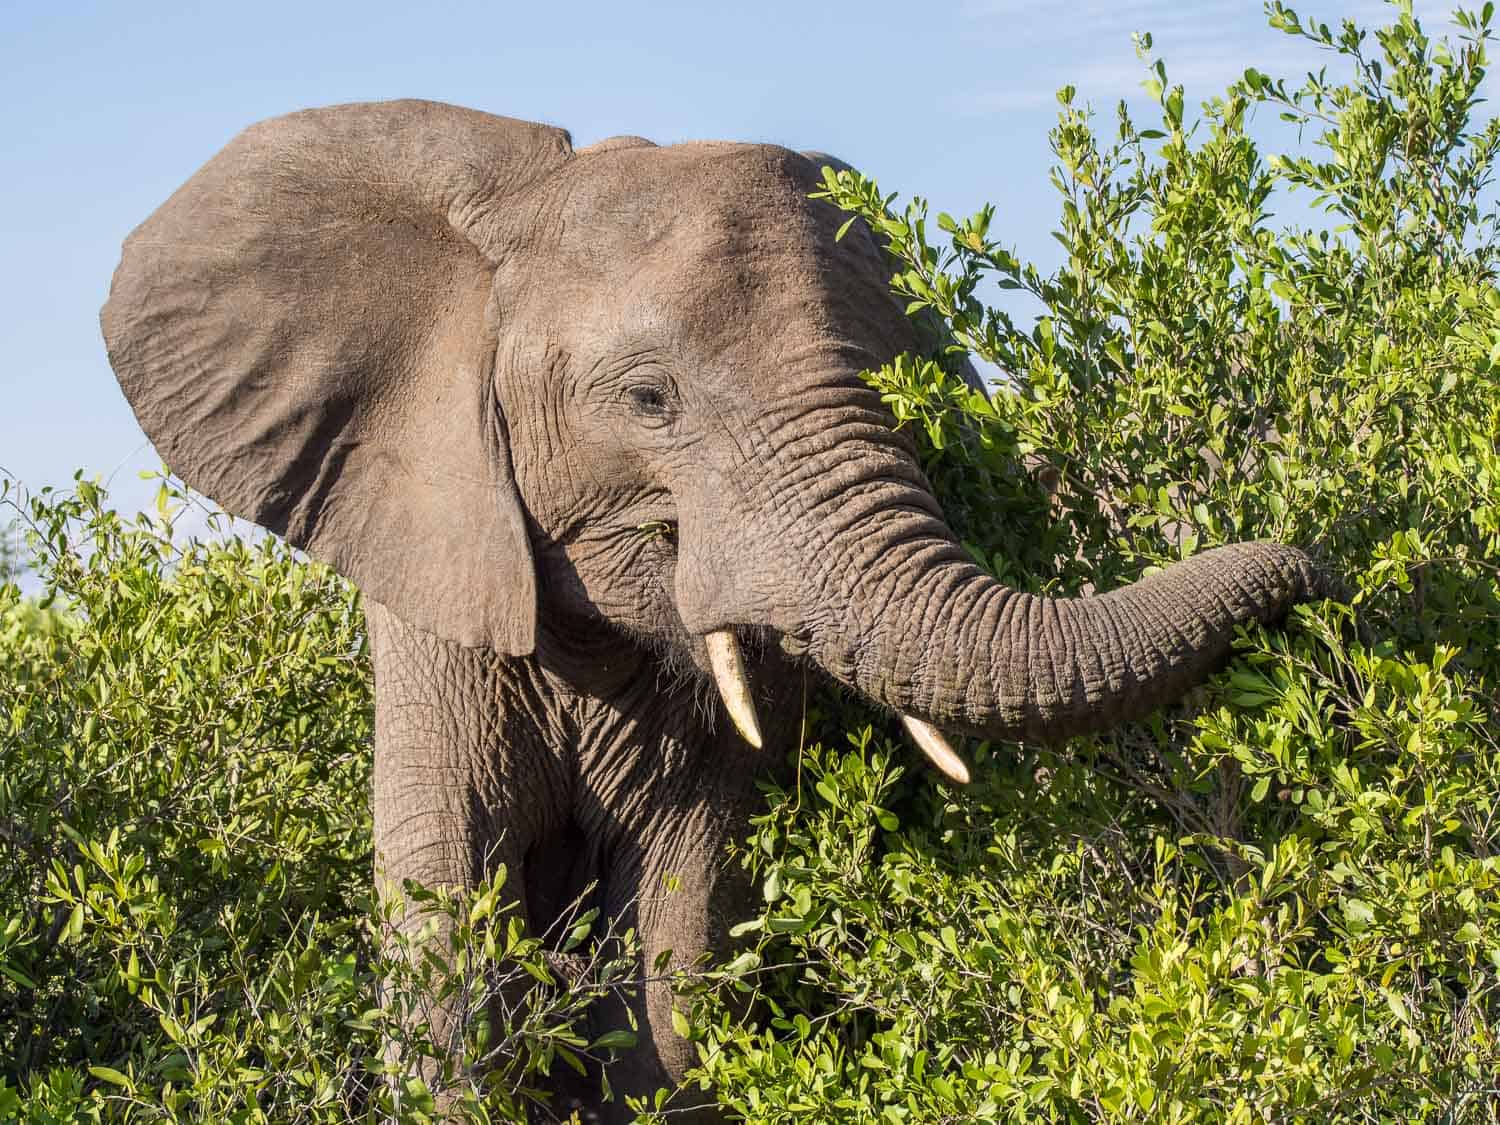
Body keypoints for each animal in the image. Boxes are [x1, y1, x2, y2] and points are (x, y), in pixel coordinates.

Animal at [99, 101, 1320, 1122]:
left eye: (917, 399)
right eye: (649, 398)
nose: (1309, 568)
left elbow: (683, 937)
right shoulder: (436, 582)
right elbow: (450, 918)